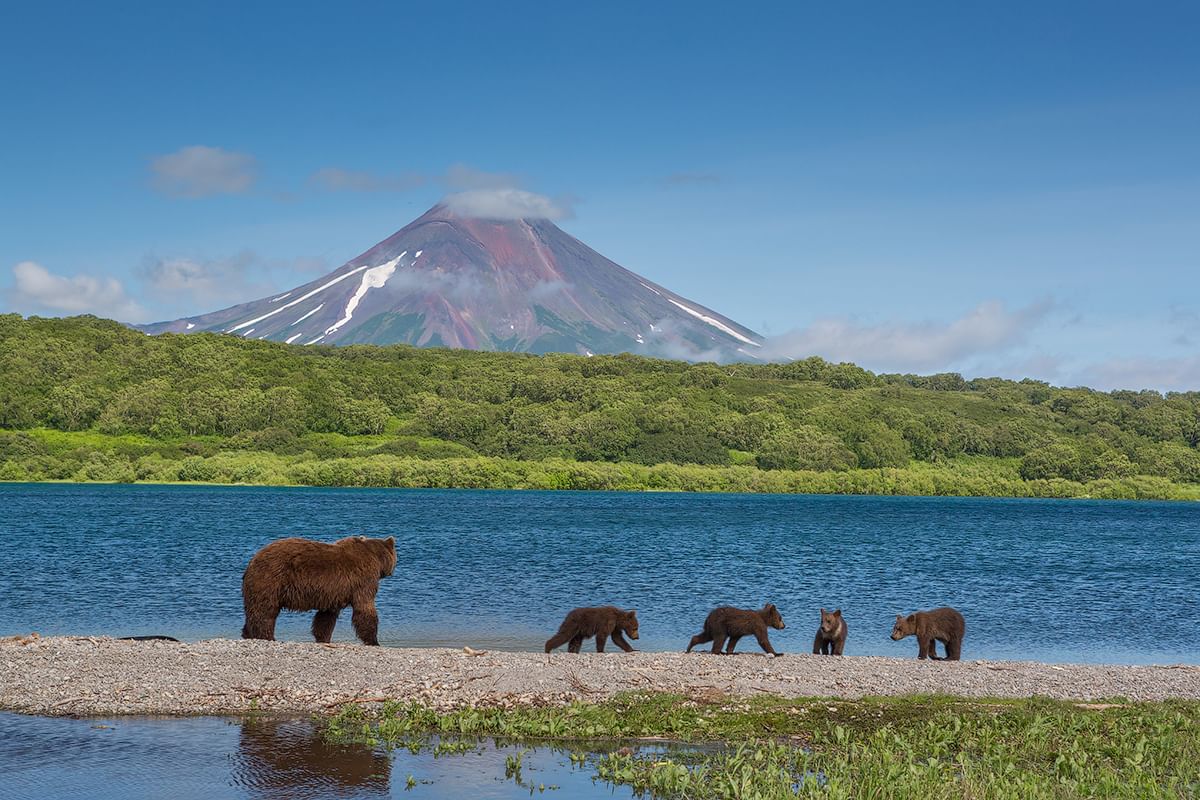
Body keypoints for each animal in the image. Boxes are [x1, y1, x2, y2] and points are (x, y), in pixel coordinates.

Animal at [241, 537, 396, 642]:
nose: (391, 572)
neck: (376, 558)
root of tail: (252, 561)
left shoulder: (333, 593)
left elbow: (326, 617)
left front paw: (323, 637)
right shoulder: (364, 580)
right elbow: (365, 608)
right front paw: (373, 641)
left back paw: (247, 634)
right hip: (271, 580)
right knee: (265, 611)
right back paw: (267, 636)